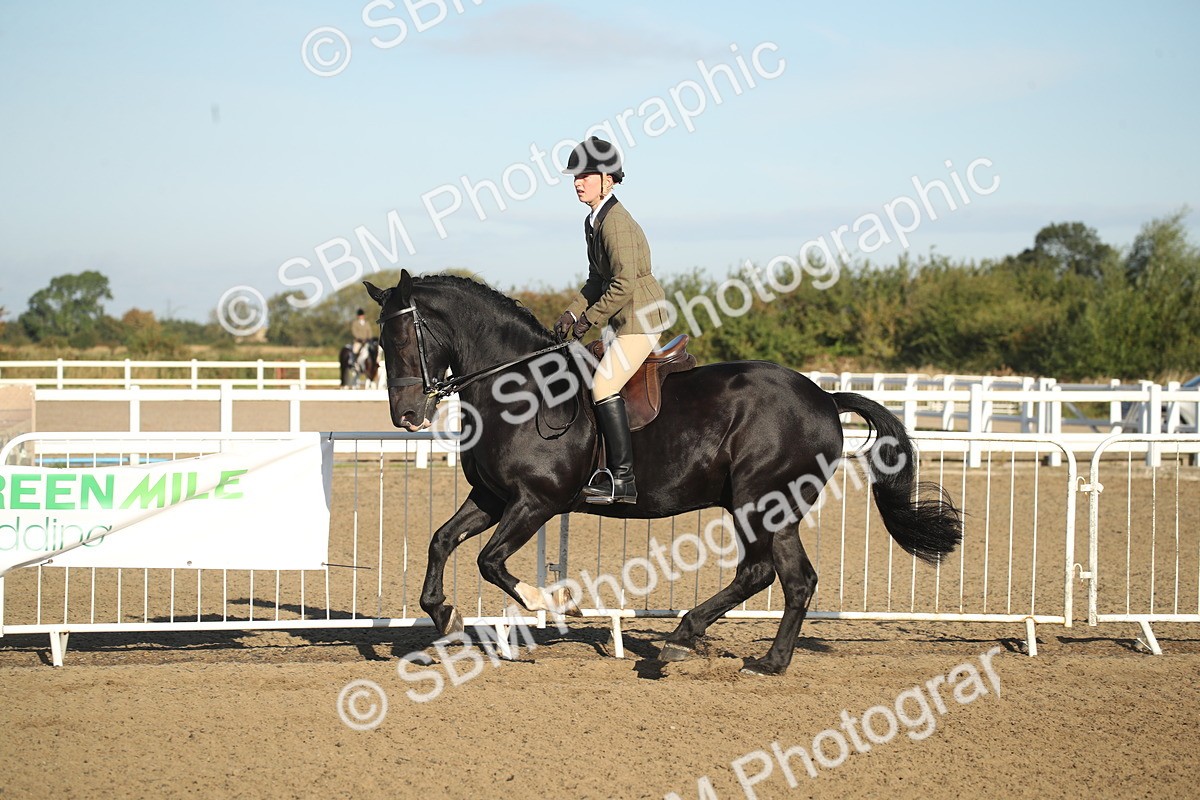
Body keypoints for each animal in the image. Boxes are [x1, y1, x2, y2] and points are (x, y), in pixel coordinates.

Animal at [365, 270, 962, 675]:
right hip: (771, 507)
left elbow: (490, 562)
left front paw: (551, 602)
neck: (519, 387)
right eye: (380, 342)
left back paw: (692, 639)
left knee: (765, 573)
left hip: (759, 501)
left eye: (405, 338)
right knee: (790, 579)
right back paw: (761, 658)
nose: (407, 416)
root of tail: (824, 397)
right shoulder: (492, 497)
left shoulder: (536, 501)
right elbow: (441, 542)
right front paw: (443, 615)